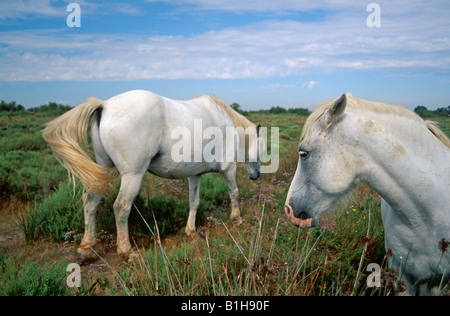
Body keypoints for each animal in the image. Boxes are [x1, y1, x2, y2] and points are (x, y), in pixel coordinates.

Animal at [44, 89, 262, 260]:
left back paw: (86, 247)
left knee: (90, 202)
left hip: (101, 170)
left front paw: (191, 231)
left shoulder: (195, 175)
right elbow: (234, 192)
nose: (256, 175)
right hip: (133, 175)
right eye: (261, 147)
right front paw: (237, 219)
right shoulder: (229, 169)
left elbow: (194, 202)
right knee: (121, 207)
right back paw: (126, 252)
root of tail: (104, 106)